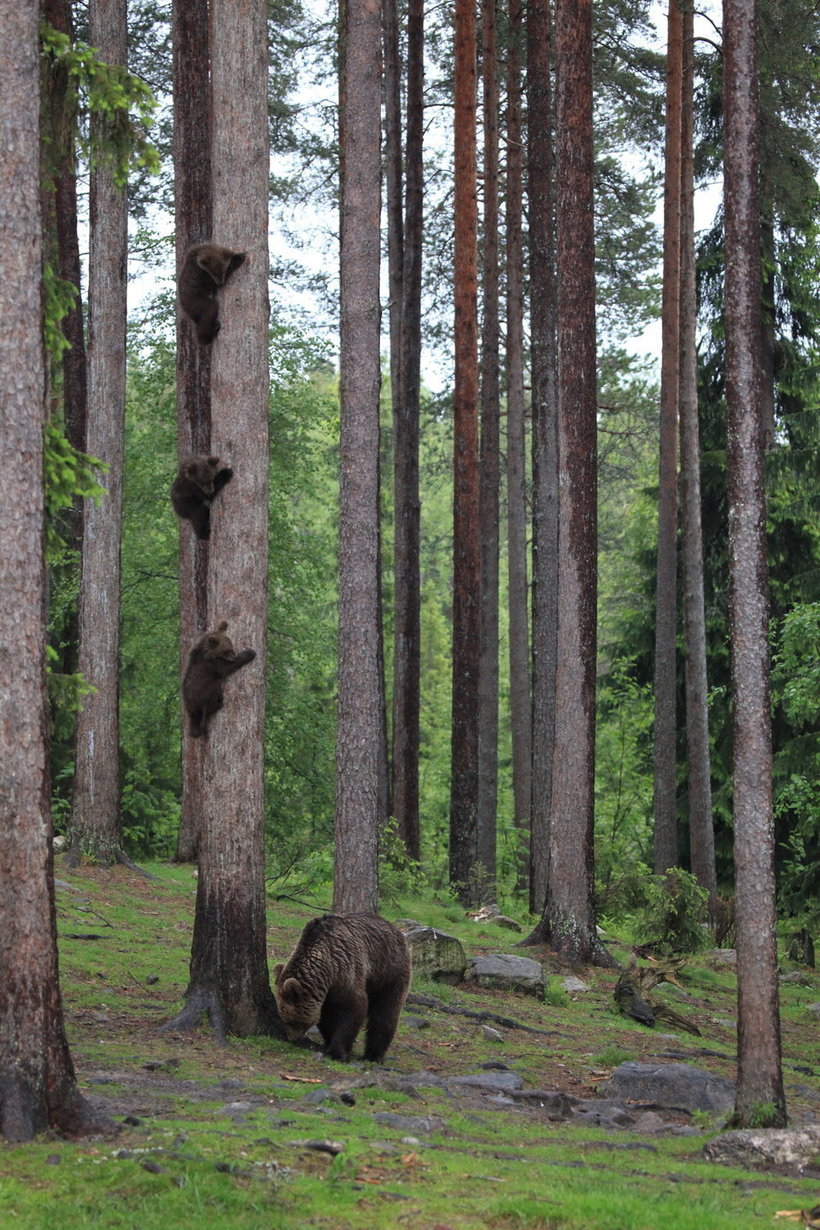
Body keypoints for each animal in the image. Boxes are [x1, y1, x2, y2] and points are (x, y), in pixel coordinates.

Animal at [274, 920, 410, 1062]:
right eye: (284, 1018)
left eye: (292, 1020)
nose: (292, 1039)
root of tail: (397, 930)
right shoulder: (328, 992)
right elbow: (327, 1018)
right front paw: (329, 1043)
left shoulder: (346, 969)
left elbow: (352, 1010)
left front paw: (339, 1052)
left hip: (389, 971)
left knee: (385, 1012)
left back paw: (373, 1055)